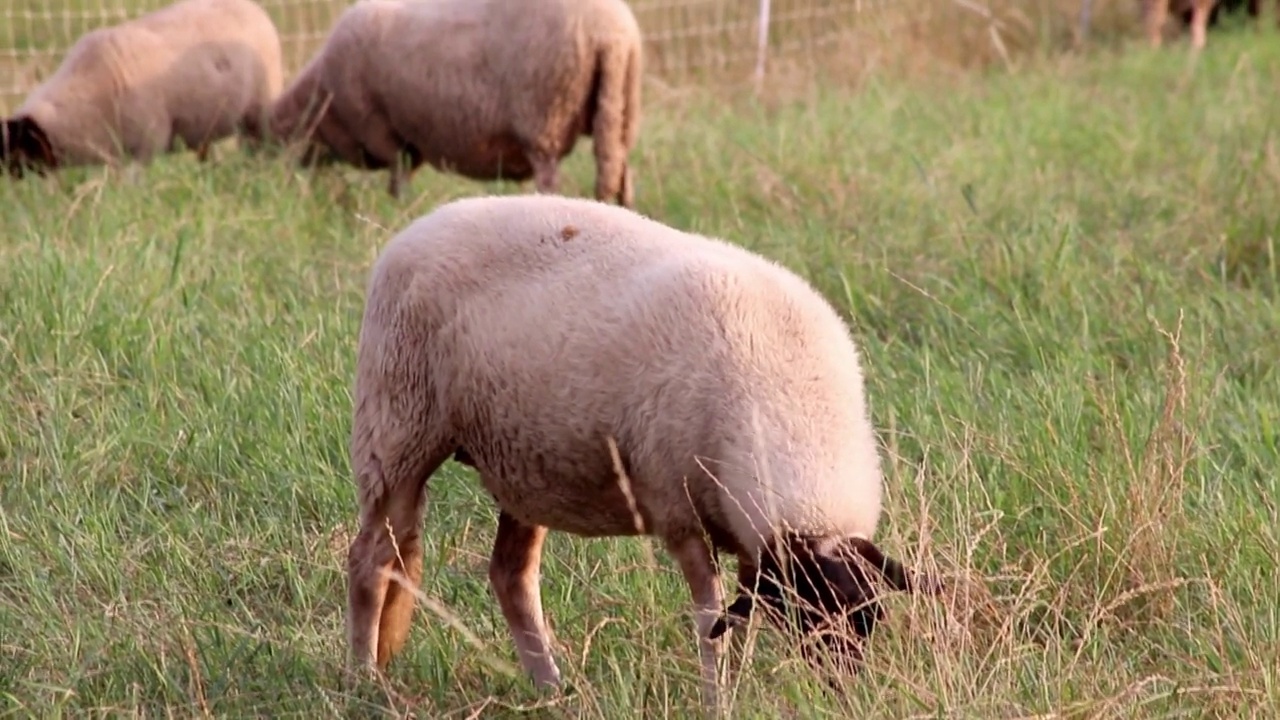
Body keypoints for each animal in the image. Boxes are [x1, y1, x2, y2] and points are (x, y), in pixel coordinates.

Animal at [272, 0, 650, 204]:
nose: (277, 182)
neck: (324, 100)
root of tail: (612, 32)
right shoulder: (407, 141)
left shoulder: (382, 130)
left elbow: (397, 180)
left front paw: (398, 208)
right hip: (619, 107)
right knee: (620, 172)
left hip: (545, 117)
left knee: (551, 177)